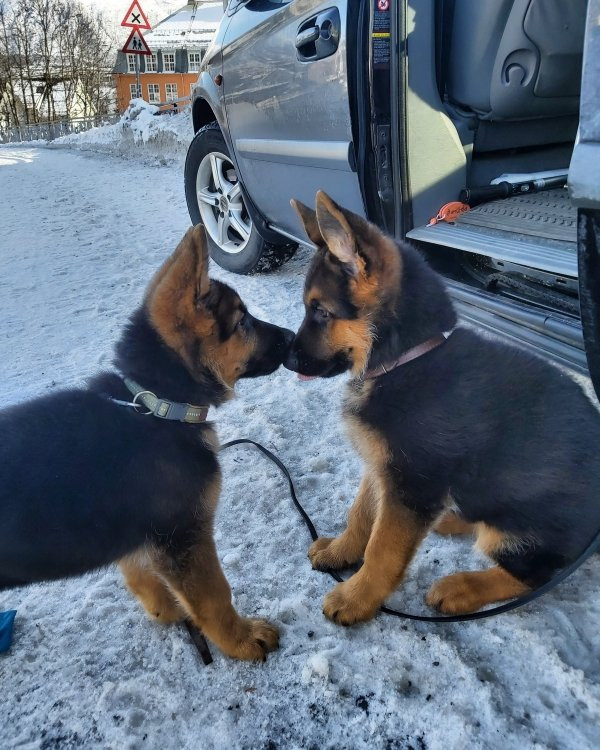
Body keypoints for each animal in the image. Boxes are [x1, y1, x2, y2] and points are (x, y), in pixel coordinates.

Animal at [0, 226, 292, 660]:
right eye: (242, 322)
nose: (292, 337)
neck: (156, 406)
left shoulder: (147, 538)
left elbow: (145, 578)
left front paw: (170, 610)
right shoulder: (185, 534)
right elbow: (214, 596)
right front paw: (240, 640)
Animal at [284, 191, 600, 624]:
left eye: (321, 311)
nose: (285, 359)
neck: (406, 359)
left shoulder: (412, 484)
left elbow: (383, 548)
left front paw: (356, 598)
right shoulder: (383, 468)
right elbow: (362, 513)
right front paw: (341, 551)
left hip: (523, 532)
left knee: (533, 574)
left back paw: (461, 586)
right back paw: (453, 519)